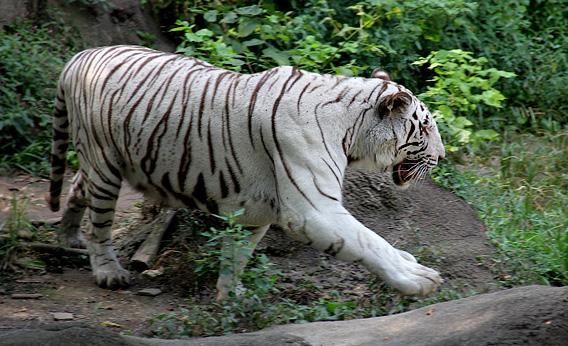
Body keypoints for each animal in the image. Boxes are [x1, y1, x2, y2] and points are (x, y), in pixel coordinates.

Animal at [47, 45, 444, 300]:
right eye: (425, 129)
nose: (441, 156)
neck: (351, 129)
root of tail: (78, 57)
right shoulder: (314, 211)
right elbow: (370, 242)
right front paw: (418, 277)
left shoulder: (258, 206)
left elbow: (239, 252)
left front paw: (230, 294)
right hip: (104, 161)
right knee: (99, 223)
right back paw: (108, 271)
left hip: (105, 160)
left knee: (77, 186)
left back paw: (69, 236)